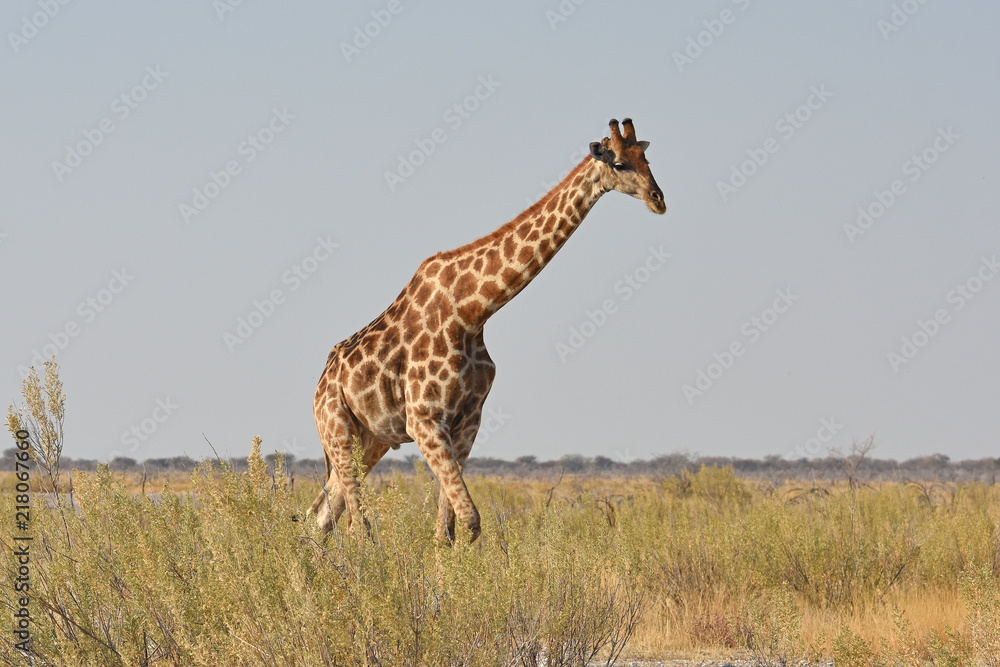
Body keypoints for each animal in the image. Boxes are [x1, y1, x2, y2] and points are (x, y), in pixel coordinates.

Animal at [309, 118, 666, 542]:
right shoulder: (424, 419)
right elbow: (469, 520)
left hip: (372, 439)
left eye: (647, 159)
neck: (473, 311)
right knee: (355, 525)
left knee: (322, 516)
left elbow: (449, 528)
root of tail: (319, 385)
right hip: (338, 429)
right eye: (620, 164)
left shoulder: (467, 420)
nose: (659, 199)